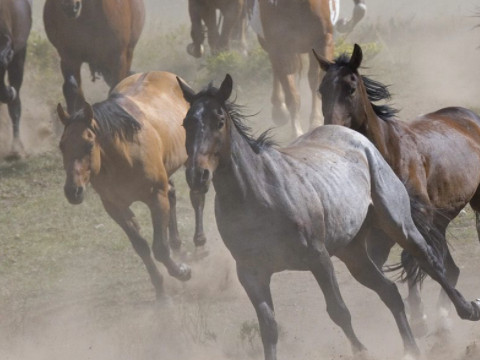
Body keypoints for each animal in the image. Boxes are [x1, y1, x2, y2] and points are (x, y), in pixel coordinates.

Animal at [55, 71, 208, 300]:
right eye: (62, 146)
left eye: (89, 144)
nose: (73, 191)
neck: (123, 156)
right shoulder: (115, 208)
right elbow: (141, 247)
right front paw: (161, 292)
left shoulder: (155, 197)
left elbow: (159, 248)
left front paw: (182, 272)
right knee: (172, 195)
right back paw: (179, 247)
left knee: (197, 194)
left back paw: (199, 241)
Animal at [176, 73, 480, 360]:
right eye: (186, 123)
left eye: (219, 120)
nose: (197, 175)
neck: (258, 195)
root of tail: (359, 139)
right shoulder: (250, 273)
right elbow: (269, 327)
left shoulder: (318, 258)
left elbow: (338, 310)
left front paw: (361, 351)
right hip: (353, 251)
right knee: (390, 291)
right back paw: (411, 350)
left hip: (397, 225)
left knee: (430, 262)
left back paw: (466, 310)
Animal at [249, 0, 366, 138]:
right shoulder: (280, 47)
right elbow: (292, 95)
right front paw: (297, 132)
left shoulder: (322, 41)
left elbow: (316, 80)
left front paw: (316, 123)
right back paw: (279, 109)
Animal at [316, 43, 480, 336]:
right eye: (321, 90)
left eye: (350, 87)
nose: (330, 129)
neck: (388, 153)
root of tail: (467, 115)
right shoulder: (380, 231)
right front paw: (420, 316)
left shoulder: (415, 219)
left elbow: (412, 258)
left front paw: (420, 317)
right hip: (439, 221)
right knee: (451, 268)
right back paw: (444, 317)